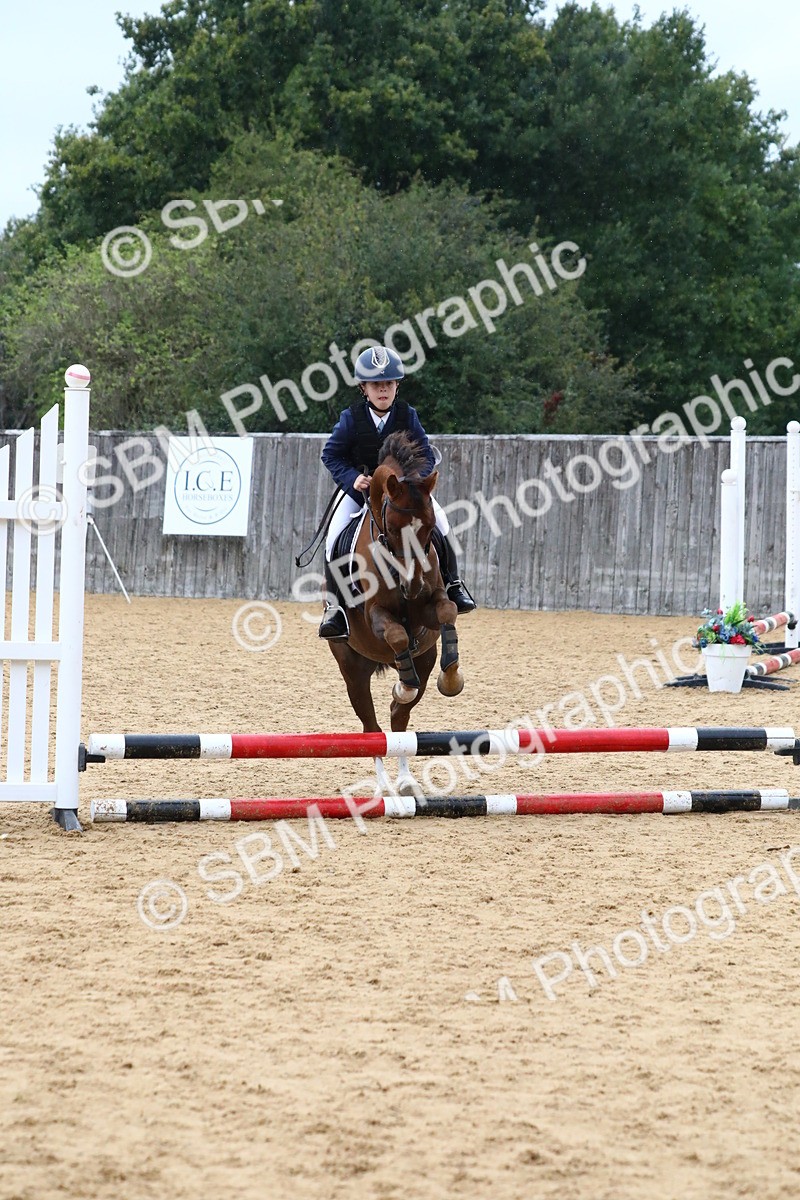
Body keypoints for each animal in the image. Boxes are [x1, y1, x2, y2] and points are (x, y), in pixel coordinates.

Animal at [325, 431, 464, 794]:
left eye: (429, 528)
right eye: (391, 526)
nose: (412, 586)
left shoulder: (428, 610)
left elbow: (447, 611)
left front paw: (452, 678)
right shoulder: (375, 615)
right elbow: (397, 634)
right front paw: (403, 686)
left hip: (424, 659)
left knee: (399, 721)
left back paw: (405, 782)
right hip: (352, 669)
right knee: (372, 728)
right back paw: (384, 787)